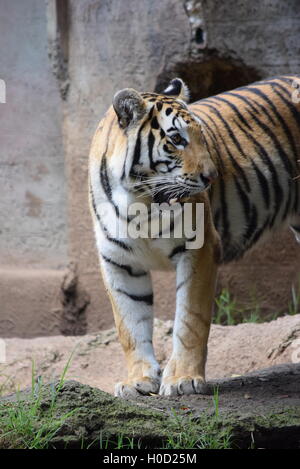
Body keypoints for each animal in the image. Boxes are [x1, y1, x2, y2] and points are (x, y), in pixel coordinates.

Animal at [88, 74, 298, 394]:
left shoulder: (200, 249)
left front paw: (183, 379)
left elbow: (190, 320)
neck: (139, 202)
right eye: (176, 139)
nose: (211, 177)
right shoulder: (118, 262)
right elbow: (129, 324)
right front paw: (138, 380)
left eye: (202, 137)